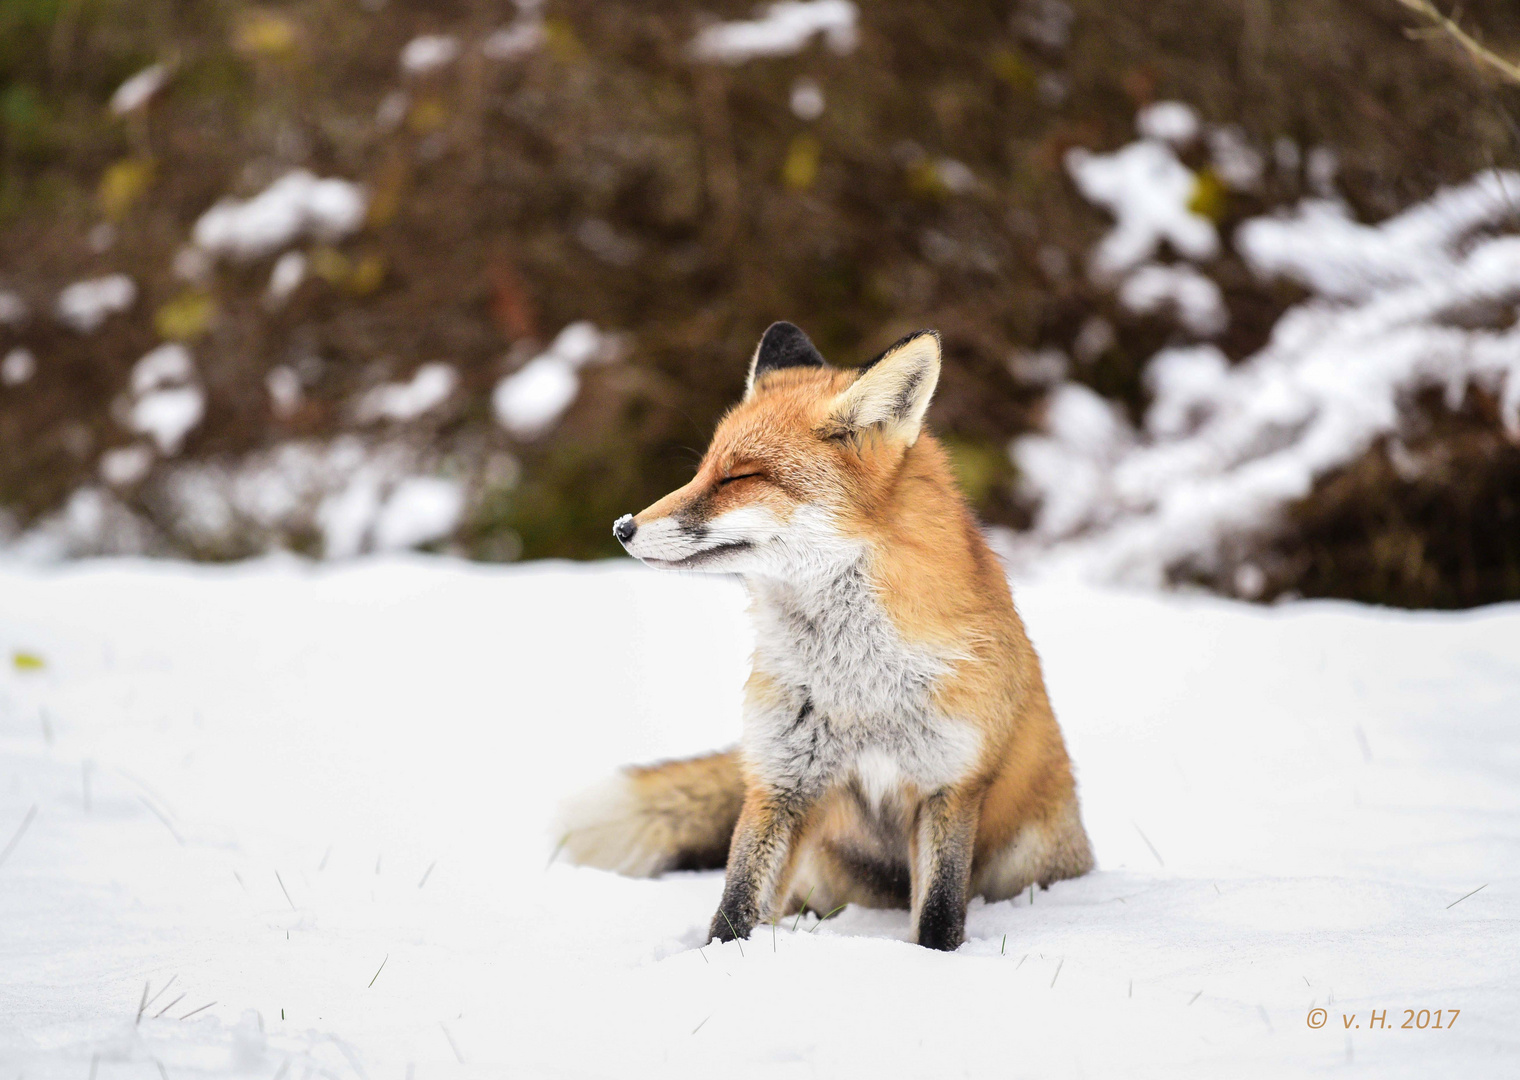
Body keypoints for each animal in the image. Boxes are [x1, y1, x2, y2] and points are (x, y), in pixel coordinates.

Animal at [559, 325, 1094, 947]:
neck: (857, 686)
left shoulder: (950, 783)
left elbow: (939, 915)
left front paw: (936, 962)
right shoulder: (780, 780)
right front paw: (715, 960)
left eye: (739, 477)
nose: (622, 528)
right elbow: (735, 907)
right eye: (702, 471)